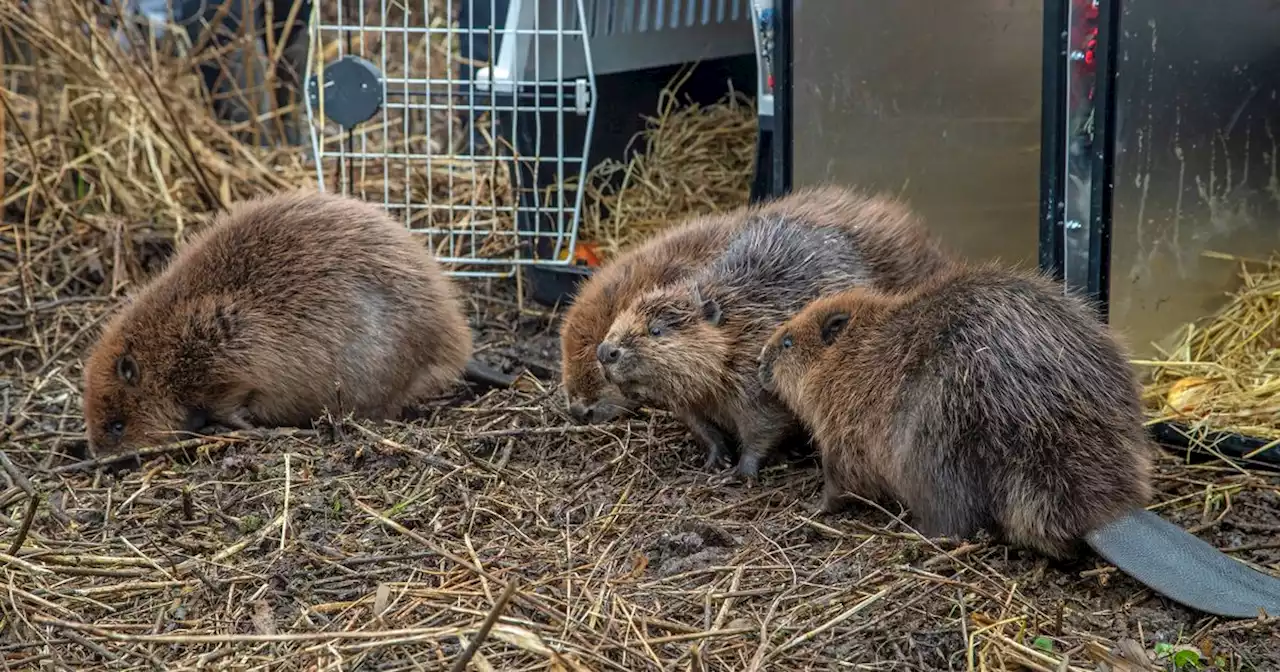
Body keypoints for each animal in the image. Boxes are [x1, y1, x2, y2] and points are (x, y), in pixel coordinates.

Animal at [81, 188, 483, 453]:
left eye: (117, 425)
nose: (103, 460)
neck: (167, 339)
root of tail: (455, 341)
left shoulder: (229, 343)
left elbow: (231, 399)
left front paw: (242, 425)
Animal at [596, 189, 952, 476]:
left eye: (656, 330)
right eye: (622, 316)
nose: (605, 352)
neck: (739, 326)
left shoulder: (756, 379)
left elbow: (764, 426)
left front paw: (741, 471)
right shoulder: (690, 399)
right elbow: (700, 425)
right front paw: (716, 459)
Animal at [752, 263, 1280, 619]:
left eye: (787, 343)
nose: (761, 358)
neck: (858, 355)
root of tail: (1107, 513)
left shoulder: (844, 431)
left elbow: (838, 481)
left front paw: (812, 508)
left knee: (956, 523)